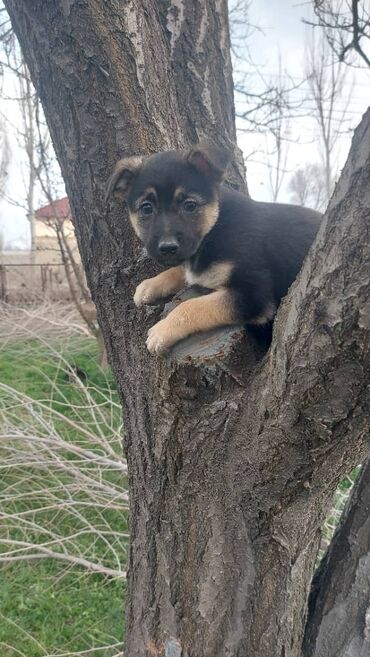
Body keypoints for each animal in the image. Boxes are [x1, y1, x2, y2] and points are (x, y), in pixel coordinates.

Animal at [105, 140, 320, 354]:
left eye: (189, 205)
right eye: (146, 208)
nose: (167, 247)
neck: (215, 228)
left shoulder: (253, 297)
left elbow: (192, 305)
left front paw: (162, 330)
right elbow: (179, 271)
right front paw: (149, 285)